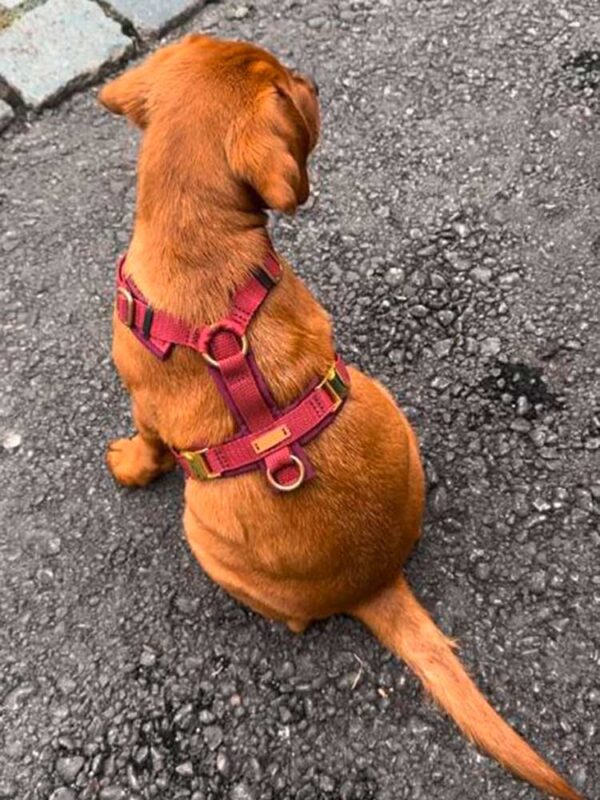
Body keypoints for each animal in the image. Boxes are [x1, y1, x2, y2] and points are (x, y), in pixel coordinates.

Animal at [101, 34, 584, 796]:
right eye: (285, 83)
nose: (313, 81)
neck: (201, 241)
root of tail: (376, 582)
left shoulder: (142, 403)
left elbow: (147, 445)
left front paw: (127, 464)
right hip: (379, 399)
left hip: (199, 531)